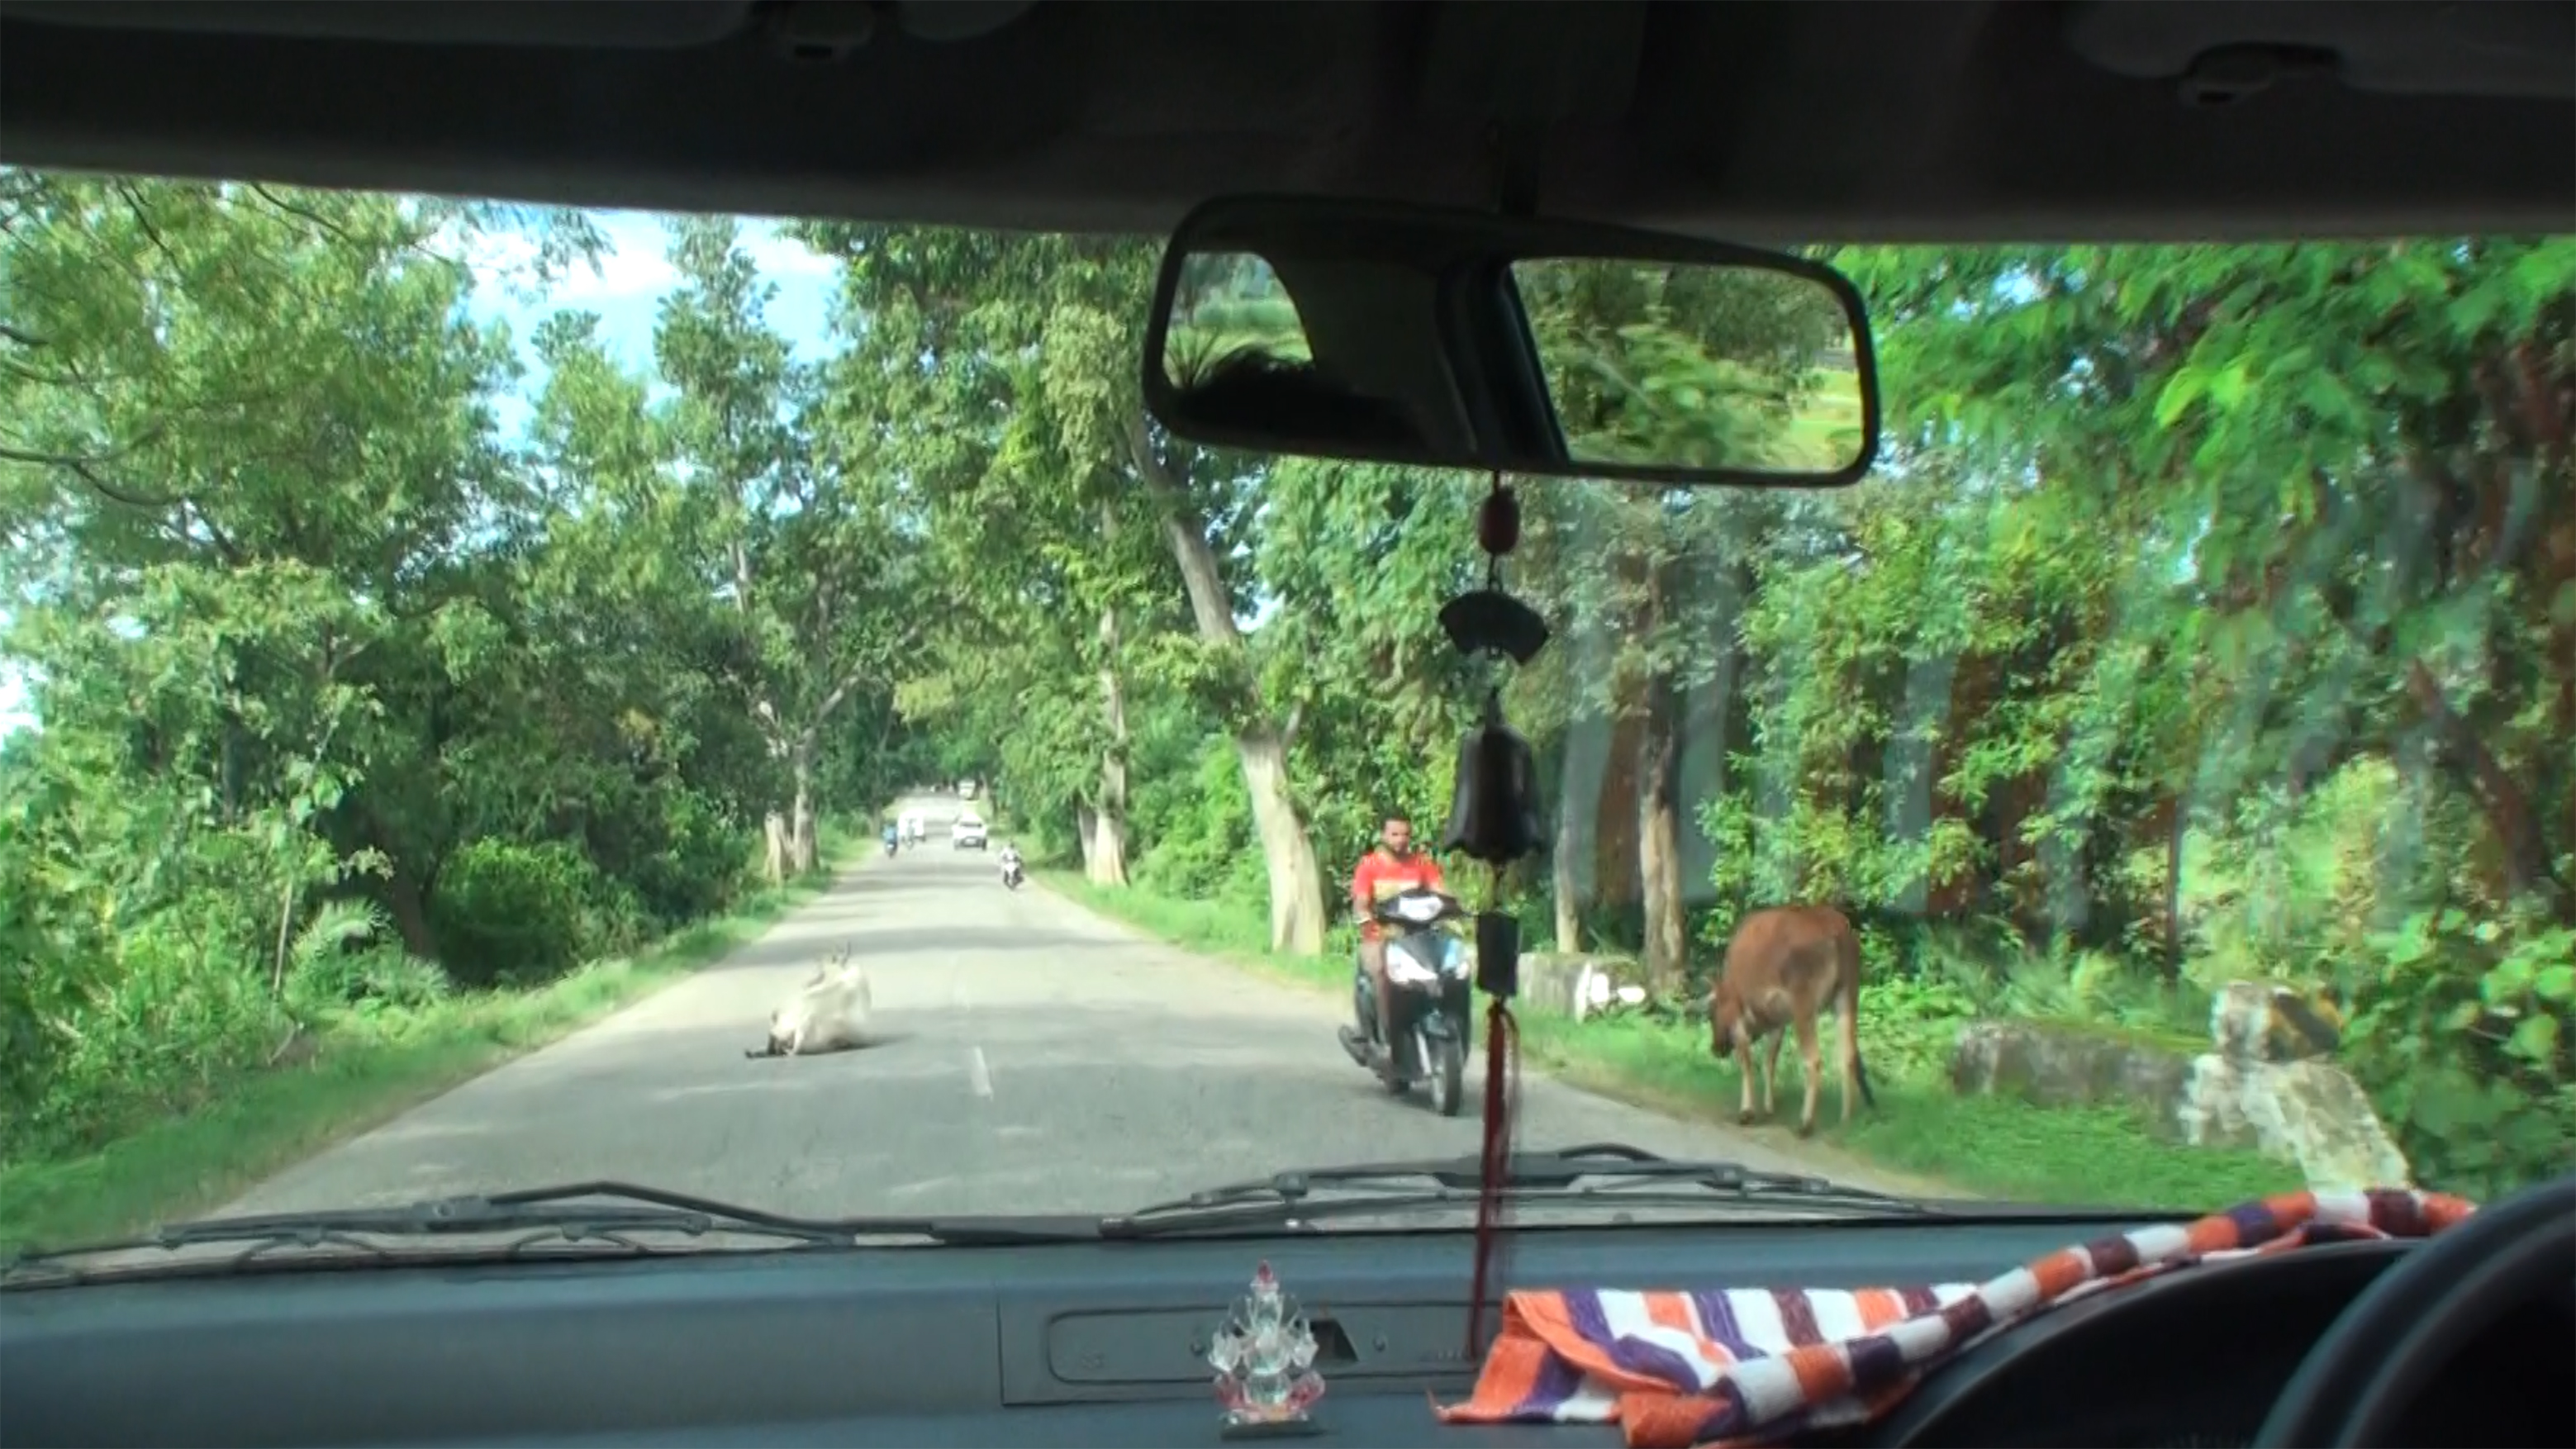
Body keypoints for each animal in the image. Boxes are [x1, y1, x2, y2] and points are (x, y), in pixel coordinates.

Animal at [1710, 905, 1875, 1132]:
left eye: (1711, 1015)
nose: (1715, 1048)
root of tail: (1838, 930)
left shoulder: (1738, 1015)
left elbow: (1747, 1061)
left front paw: (1747, 1112)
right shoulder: (1778, 1020)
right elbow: (1769, 1061)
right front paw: (1769, 1107)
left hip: (1804, 1005)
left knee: (1814, 1059)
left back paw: (1806, 1123)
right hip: (1847, 995)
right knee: (1847, 1055)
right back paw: (1845, 1119)